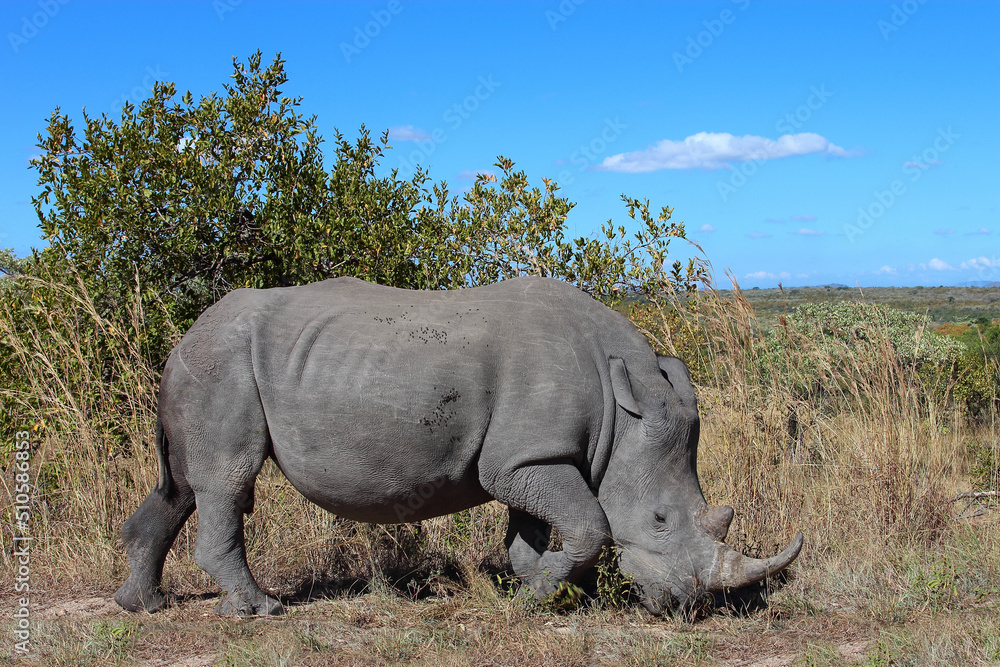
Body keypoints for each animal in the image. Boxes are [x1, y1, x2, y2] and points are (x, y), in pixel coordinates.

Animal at [115, 276, 802, 616]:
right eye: (659, 521)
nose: (685, 605)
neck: (621, 401)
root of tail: (182, 338)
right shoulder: (530, 456)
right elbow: (589, 523)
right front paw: (540, 595)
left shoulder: (534, 453)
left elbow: (537, 528)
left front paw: (540, 587)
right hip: (222, 364)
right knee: (227, 480)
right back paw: (260, 612)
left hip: (207, 366)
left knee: (184, 485)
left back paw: (142, 607)